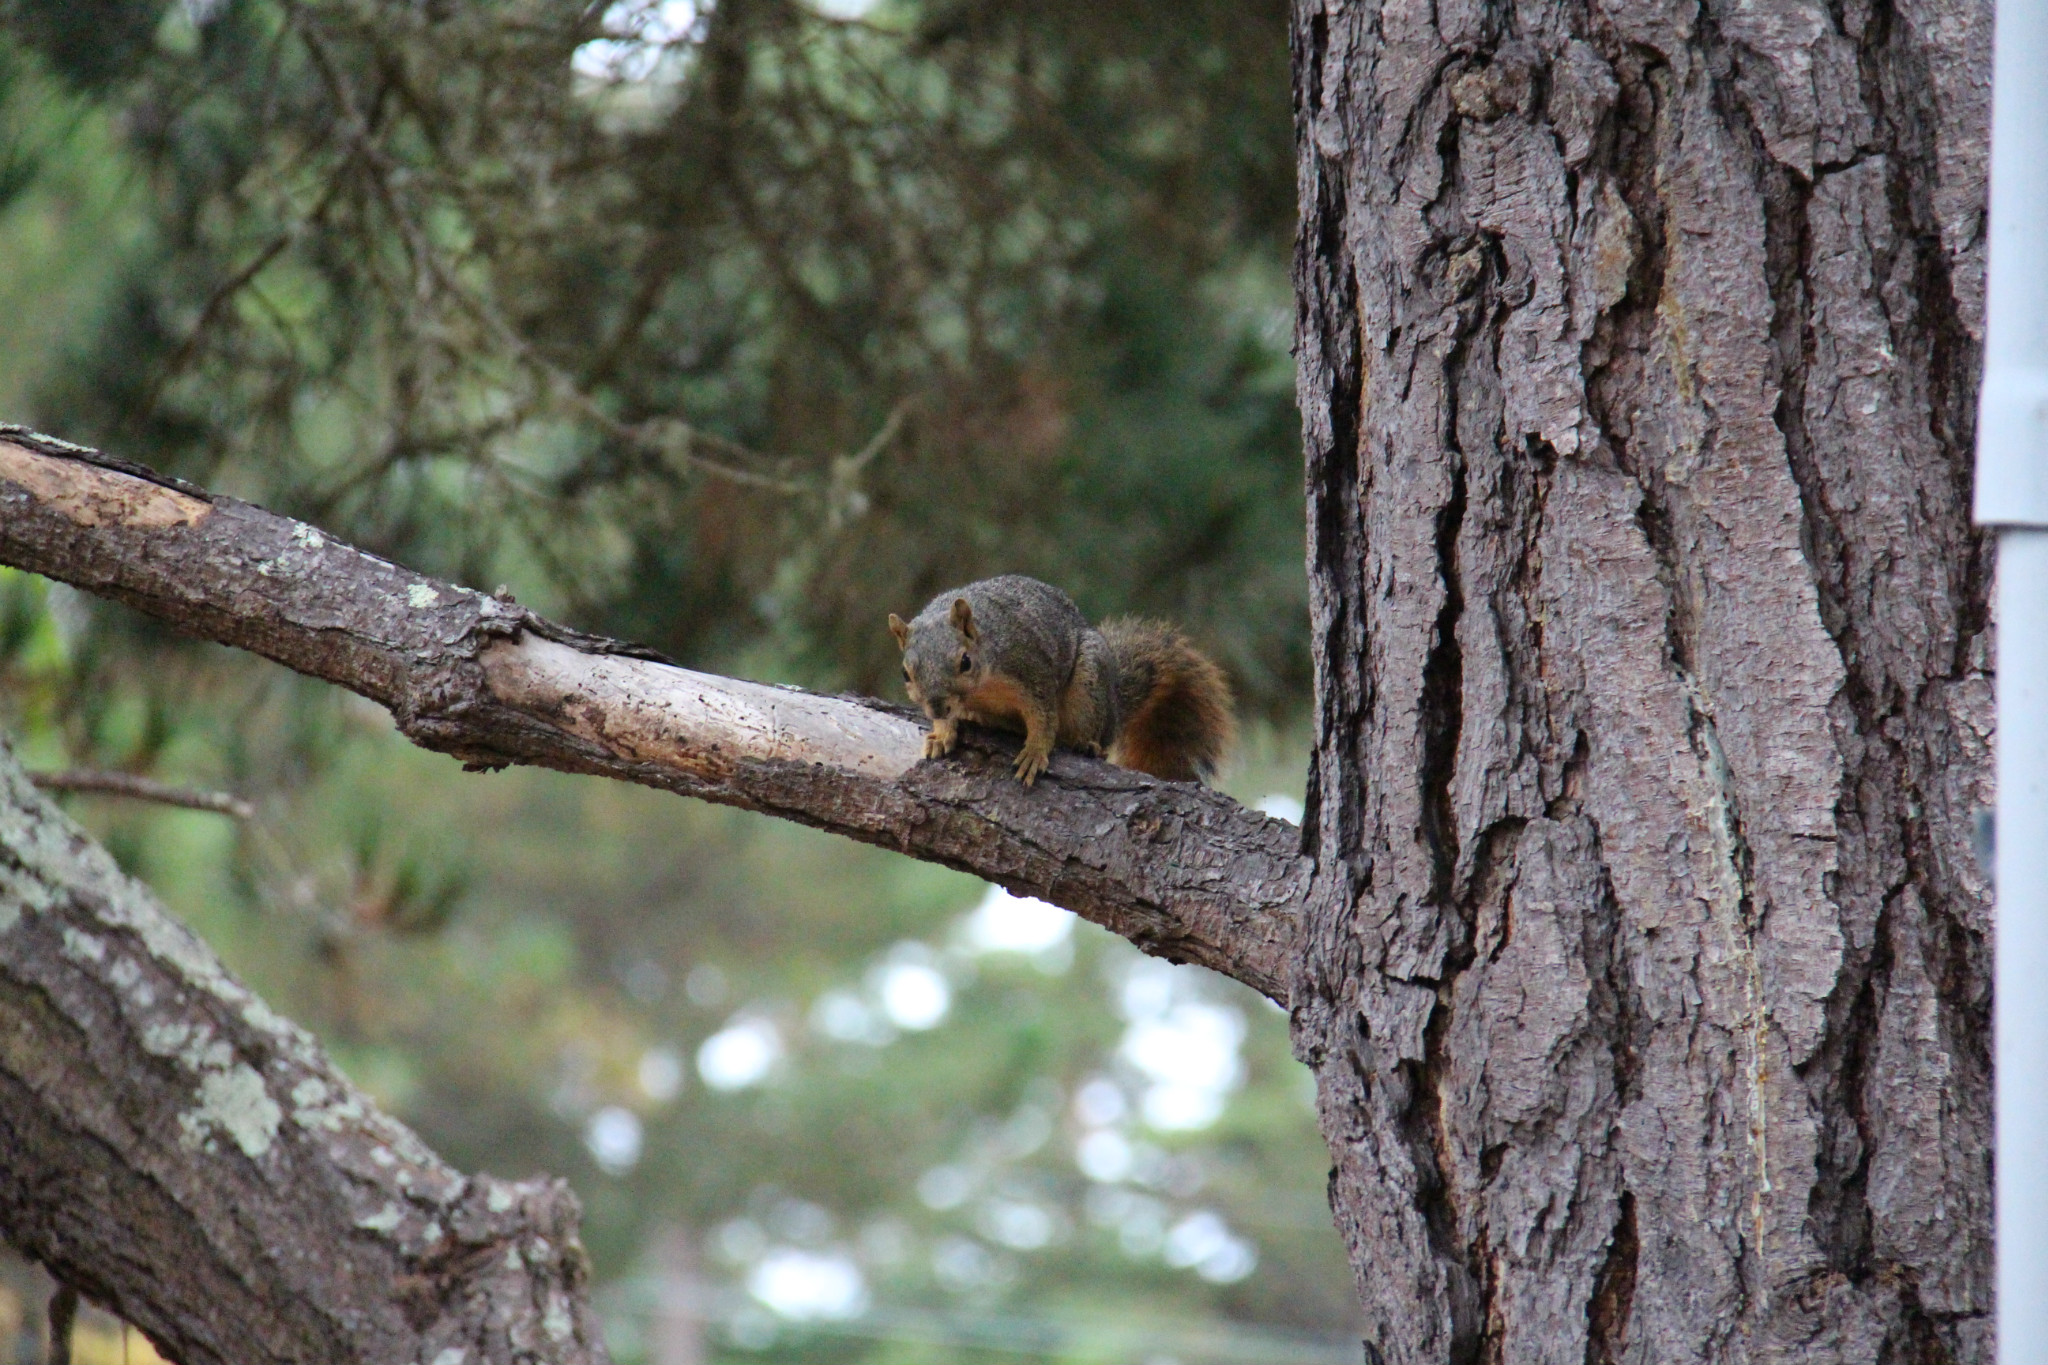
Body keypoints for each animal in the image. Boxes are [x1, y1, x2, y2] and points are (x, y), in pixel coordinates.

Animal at [884, 577, 1228, 789]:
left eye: (965, 662)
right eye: (905, 674)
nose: (938, 708)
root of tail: (1116, 707)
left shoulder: (1031, 671)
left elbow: (1043, 718)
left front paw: (1034, 753)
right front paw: (941, 733)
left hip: (1089, 687)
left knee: (1091, 735)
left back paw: (1088, 745)